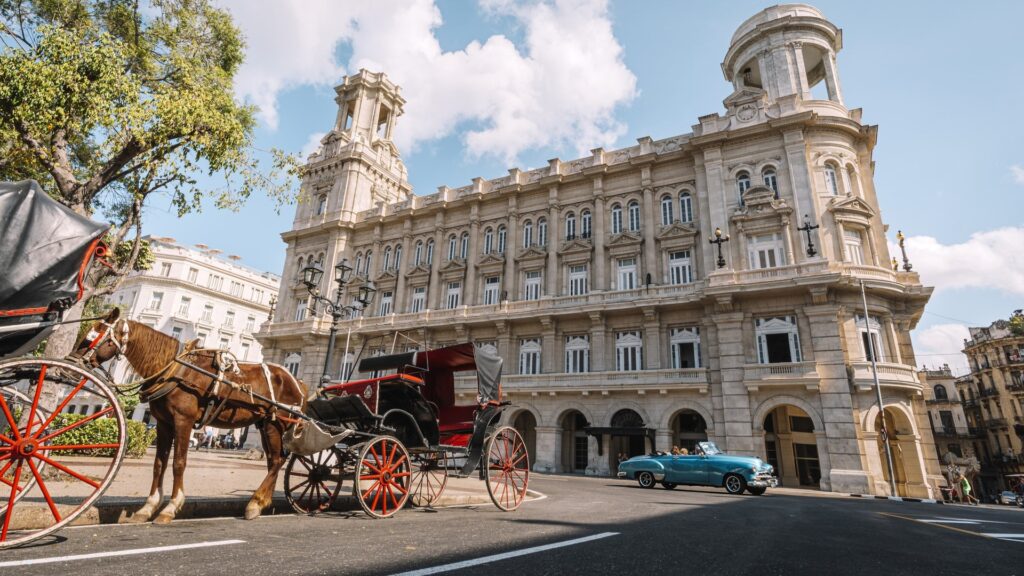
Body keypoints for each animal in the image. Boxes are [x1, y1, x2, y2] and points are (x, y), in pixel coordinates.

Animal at [71, 307, 305, 522]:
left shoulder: (183, 421)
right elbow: (159, 464)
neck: (174, 369)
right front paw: (148, 507)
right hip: (265, 424)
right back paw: (262, 502)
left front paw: (171, 507)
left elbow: (179, 462)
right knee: (274, 460)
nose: (71, 362)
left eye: (93, 337)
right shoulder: (164, 423)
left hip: (275, 425)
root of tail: (296, 380)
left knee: (277, 460)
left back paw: (255, 503)